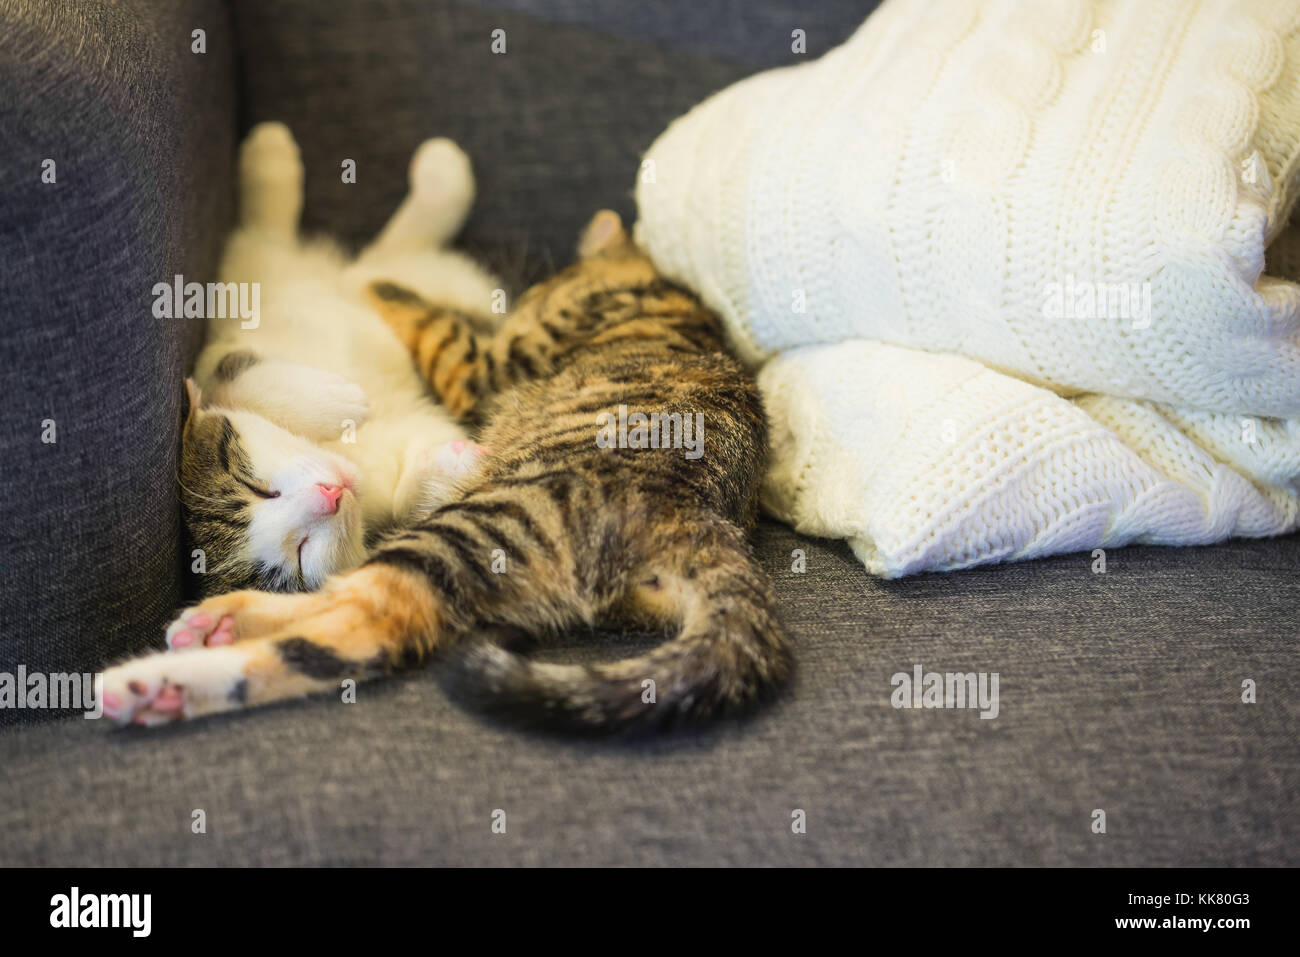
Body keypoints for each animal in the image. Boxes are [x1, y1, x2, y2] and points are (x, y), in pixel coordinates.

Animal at [98, 210, 790, 733]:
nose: (523, 299)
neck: (664, 299)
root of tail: (698, 524)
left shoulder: (486, 367)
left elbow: (425, 319)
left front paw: (377, 281)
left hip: (484, 527)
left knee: (367, 623)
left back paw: (161, 679)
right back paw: (206, 633)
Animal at [185, 122, 499, 595]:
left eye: (257, 488)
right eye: (299, 559)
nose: (328, 495)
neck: (354, 454)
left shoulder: (219, 350)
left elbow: (235, 376)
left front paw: (336, 403)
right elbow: (407, 500)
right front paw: (446, 467)